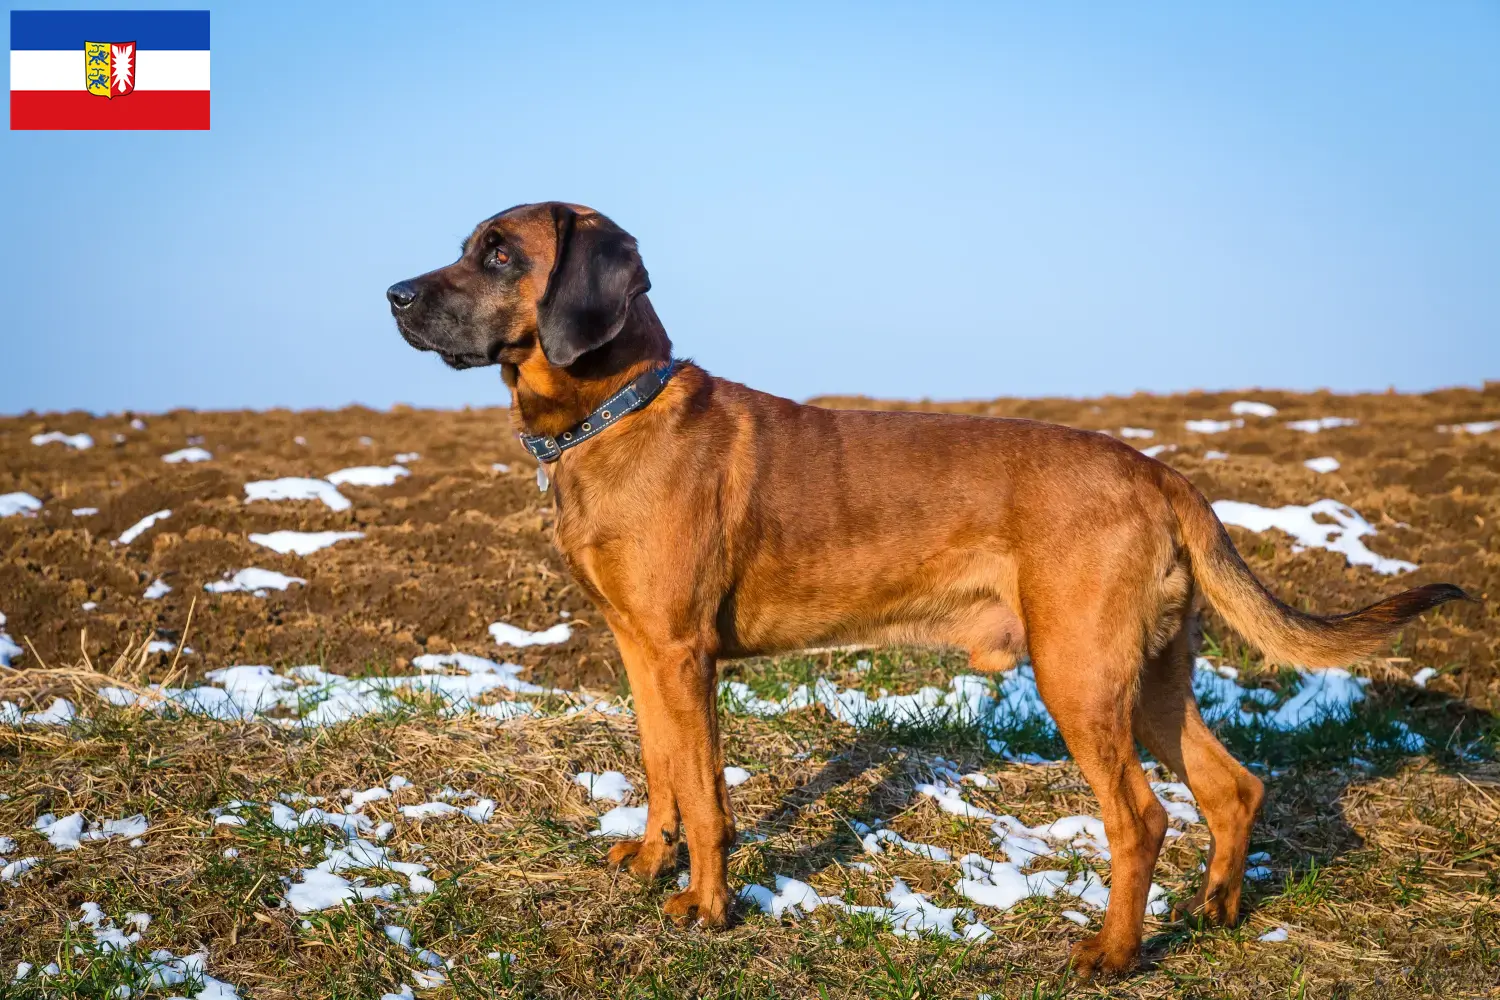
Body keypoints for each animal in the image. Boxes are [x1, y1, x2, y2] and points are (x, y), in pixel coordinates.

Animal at [387, 203, 1464, 977]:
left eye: (498, 253)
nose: (393, 292)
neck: (616, 407)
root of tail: (1161, 474)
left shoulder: (684, 655)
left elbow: (704, 789)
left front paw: (706, 905)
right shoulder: (638, 647)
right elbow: (661, 770)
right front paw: (652, 865)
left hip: (1077, 673)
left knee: (1143, 818)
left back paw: (1114, 953)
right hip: (1149, 676)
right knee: (1233, 786)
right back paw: (1218, 909)